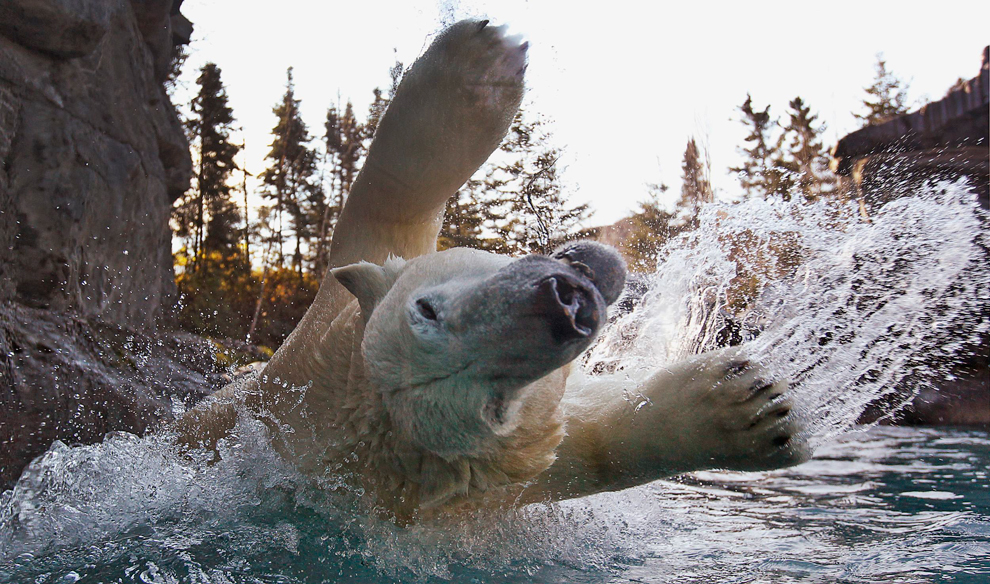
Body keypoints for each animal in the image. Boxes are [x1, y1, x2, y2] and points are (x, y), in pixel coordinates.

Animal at [176, 18, 812, 524]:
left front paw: (479, 64)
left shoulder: (320, 339)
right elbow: (593, 446)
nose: (562, 303)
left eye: (427, 308)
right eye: (492, 405)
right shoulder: (503, 477)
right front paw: (757, 407)